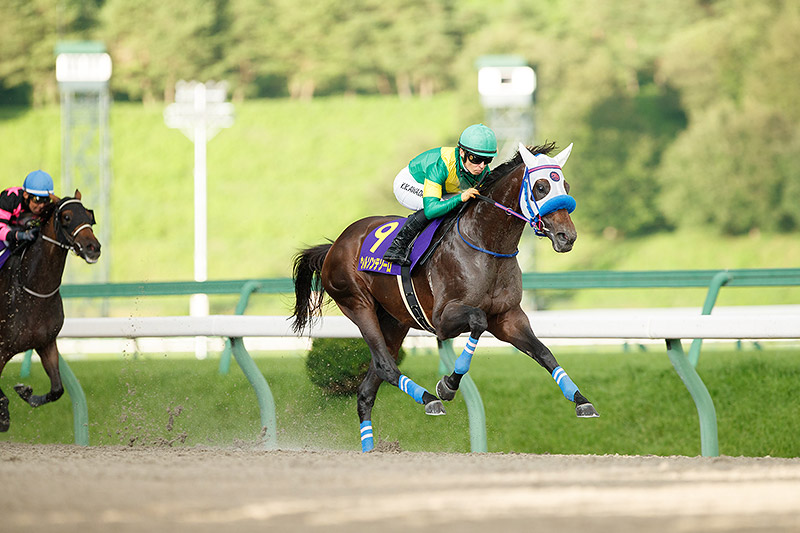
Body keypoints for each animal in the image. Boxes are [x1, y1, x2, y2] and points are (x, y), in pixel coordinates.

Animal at [0, 190, 101, 432]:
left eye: (89, 216)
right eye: (66, 216)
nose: (93, 247)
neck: (33, 290)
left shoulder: (46, 342)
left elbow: (57, 390)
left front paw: (25, 392)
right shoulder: (0, 349)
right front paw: (4, 413)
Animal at [292, 142, 598, 452]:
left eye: (566, 186)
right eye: (540, 187)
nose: (567, 236)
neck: (487, 246)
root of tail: (335, 245)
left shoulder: (508, 317)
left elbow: (544, 353)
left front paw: (581, 400)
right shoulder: (443, 319)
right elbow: (478, 321)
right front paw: (447, 386)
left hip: (394, 319)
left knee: (368, 388)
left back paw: (371, 447)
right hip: (358, 303)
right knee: (385, 365)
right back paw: (430, 399)